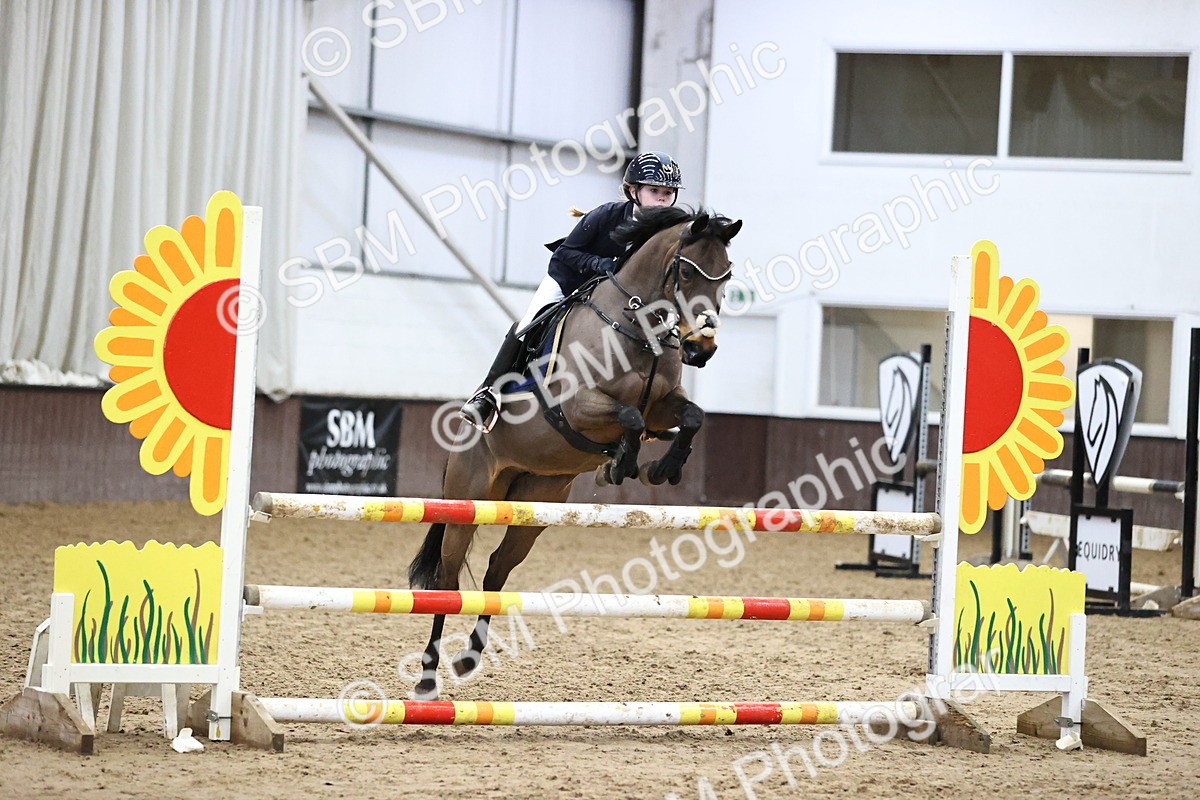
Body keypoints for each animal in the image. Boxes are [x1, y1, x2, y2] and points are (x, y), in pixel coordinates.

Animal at [407, 206, 742, 698]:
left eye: (726, 274)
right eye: (685, 270)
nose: (703, 347)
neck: (638, 325)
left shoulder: (664, 405)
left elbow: (691, 417)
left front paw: (660, 468)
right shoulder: (578, 405)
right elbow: (629, 417)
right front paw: (621, 464)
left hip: (534, 504)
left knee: (496, 571)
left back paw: (470, 657)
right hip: (468, 502)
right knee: (448, 581)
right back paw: (428, 678)